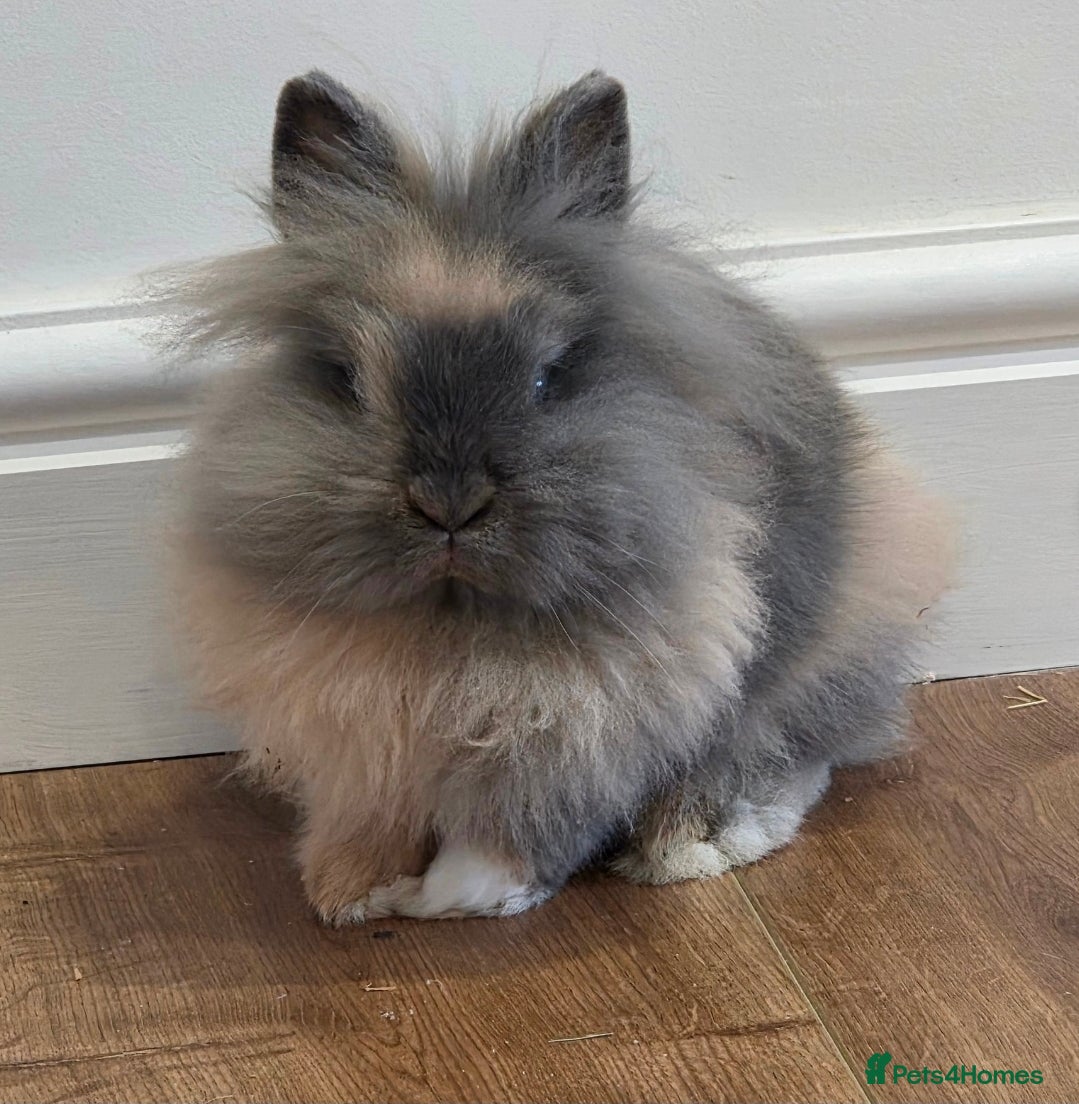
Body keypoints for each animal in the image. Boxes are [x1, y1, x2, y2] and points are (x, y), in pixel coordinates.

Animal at [166, 69, 954, 926]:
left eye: (548, 379)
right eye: (347, 379)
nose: (449, 504)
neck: (452, 633)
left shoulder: (588, 727)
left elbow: (525, 826)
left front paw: (463, 893)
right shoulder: (365, 736)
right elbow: (374, 811)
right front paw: (349, 888)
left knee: (784, 746)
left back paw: (688, 845)